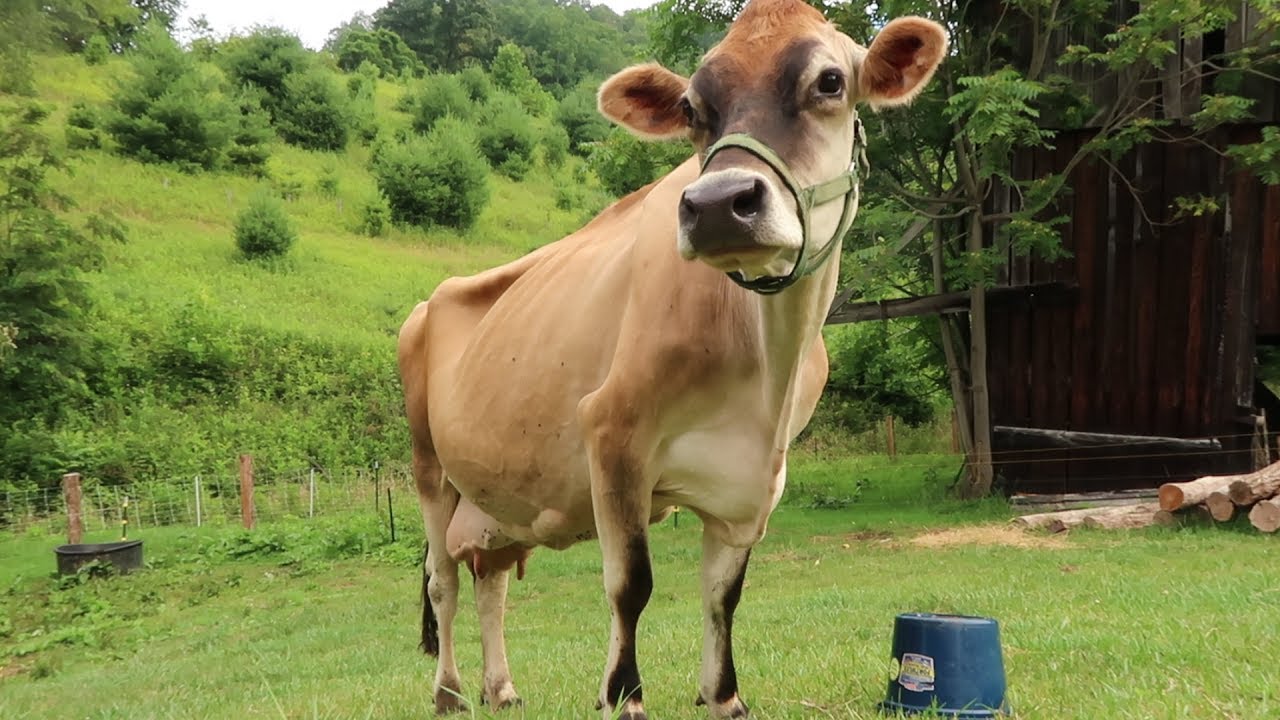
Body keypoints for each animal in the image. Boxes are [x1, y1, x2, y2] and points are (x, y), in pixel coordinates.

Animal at [396, 1, 947, 718]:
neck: (763, 372)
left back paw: (502, 687)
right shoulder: (612, 434)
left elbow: (723, 595)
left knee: (491, 575)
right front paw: (623, 696)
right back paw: (450, 692)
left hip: (497, 488)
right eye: (691, 107)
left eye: (830, 81)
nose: (717, 205)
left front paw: (724, 696)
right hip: (429, 466)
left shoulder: (756, 477)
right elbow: (631, 584)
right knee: (443, 582)